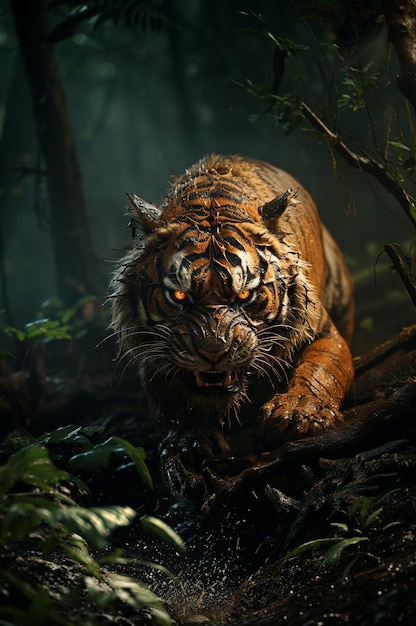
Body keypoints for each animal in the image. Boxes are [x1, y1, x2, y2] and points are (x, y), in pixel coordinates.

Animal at [110, 155, 354, 478]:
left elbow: (321, 369)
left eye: (244, 295)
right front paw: (190, 438)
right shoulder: (153, 354)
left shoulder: (322, 330)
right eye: (179, 296)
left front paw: (298, 412)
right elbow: (170, 399)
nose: (214, 353)